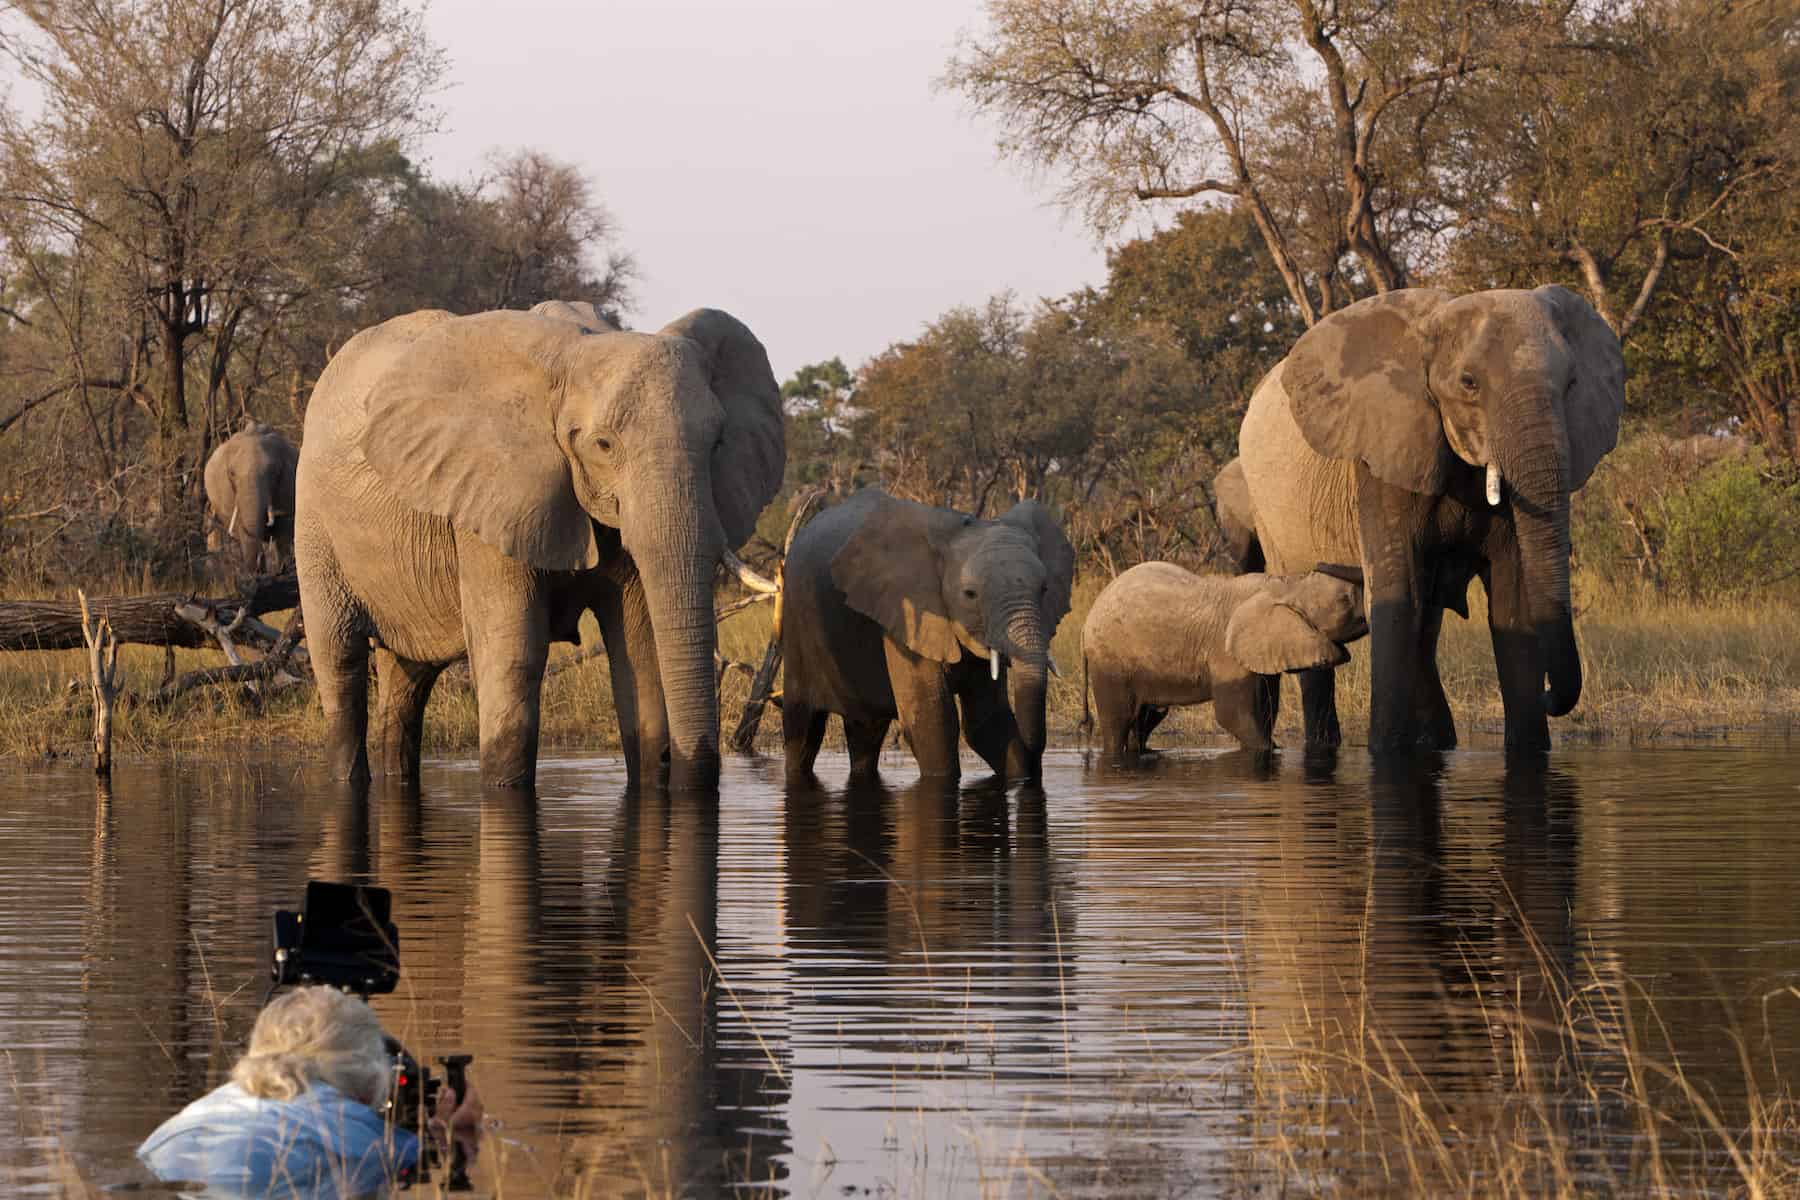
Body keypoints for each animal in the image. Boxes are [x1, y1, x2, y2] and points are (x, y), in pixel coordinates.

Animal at [203, 422, 298, 575]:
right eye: (231, 473)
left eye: (275, 472)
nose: (258, 566)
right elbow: (240, 527)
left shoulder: (288, 485)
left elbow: (283, 529)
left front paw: (283, 570)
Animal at [293, 298, 781, 788]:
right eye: (603, 444)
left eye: (718, 443)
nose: (678, 766)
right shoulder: (491, 496)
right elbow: (514, 655)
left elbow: (640, 653)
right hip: (313, 525)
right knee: (340, 663)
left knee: (408, 679)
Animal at [781, 489, 1072, 788]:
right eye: (970, 594)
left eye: (1044, 588)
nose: (1036, 764)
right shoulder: (907, 614)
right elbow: (933, 720)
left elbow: (988, 720)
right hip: (795, 628)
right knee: (802, 728)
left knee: (867, 731)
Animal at [1080, 557, 1360, 755]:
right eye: (1346, 600)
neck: (1286, 584)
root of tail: (1086, 623)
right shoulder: (1226, 654)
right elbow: (1232, 714)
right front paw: (1267, 750)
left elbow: (1266, 710)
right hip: (1109, 661)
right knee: (1118, 721)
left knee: (1146, 719)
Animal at [1245, 286, 1627, 752]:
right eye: (1469, 382)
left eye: (1572, 383)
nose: (1550, 695)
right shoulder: (1383, 454)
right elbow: (1397, 598)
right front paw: (1387, 754)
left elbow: (1512, 602)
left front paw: (1529, 748)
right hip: (1269, 517)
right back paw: (1324, 746)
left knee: (1426, 628)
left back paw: (1438, 743)